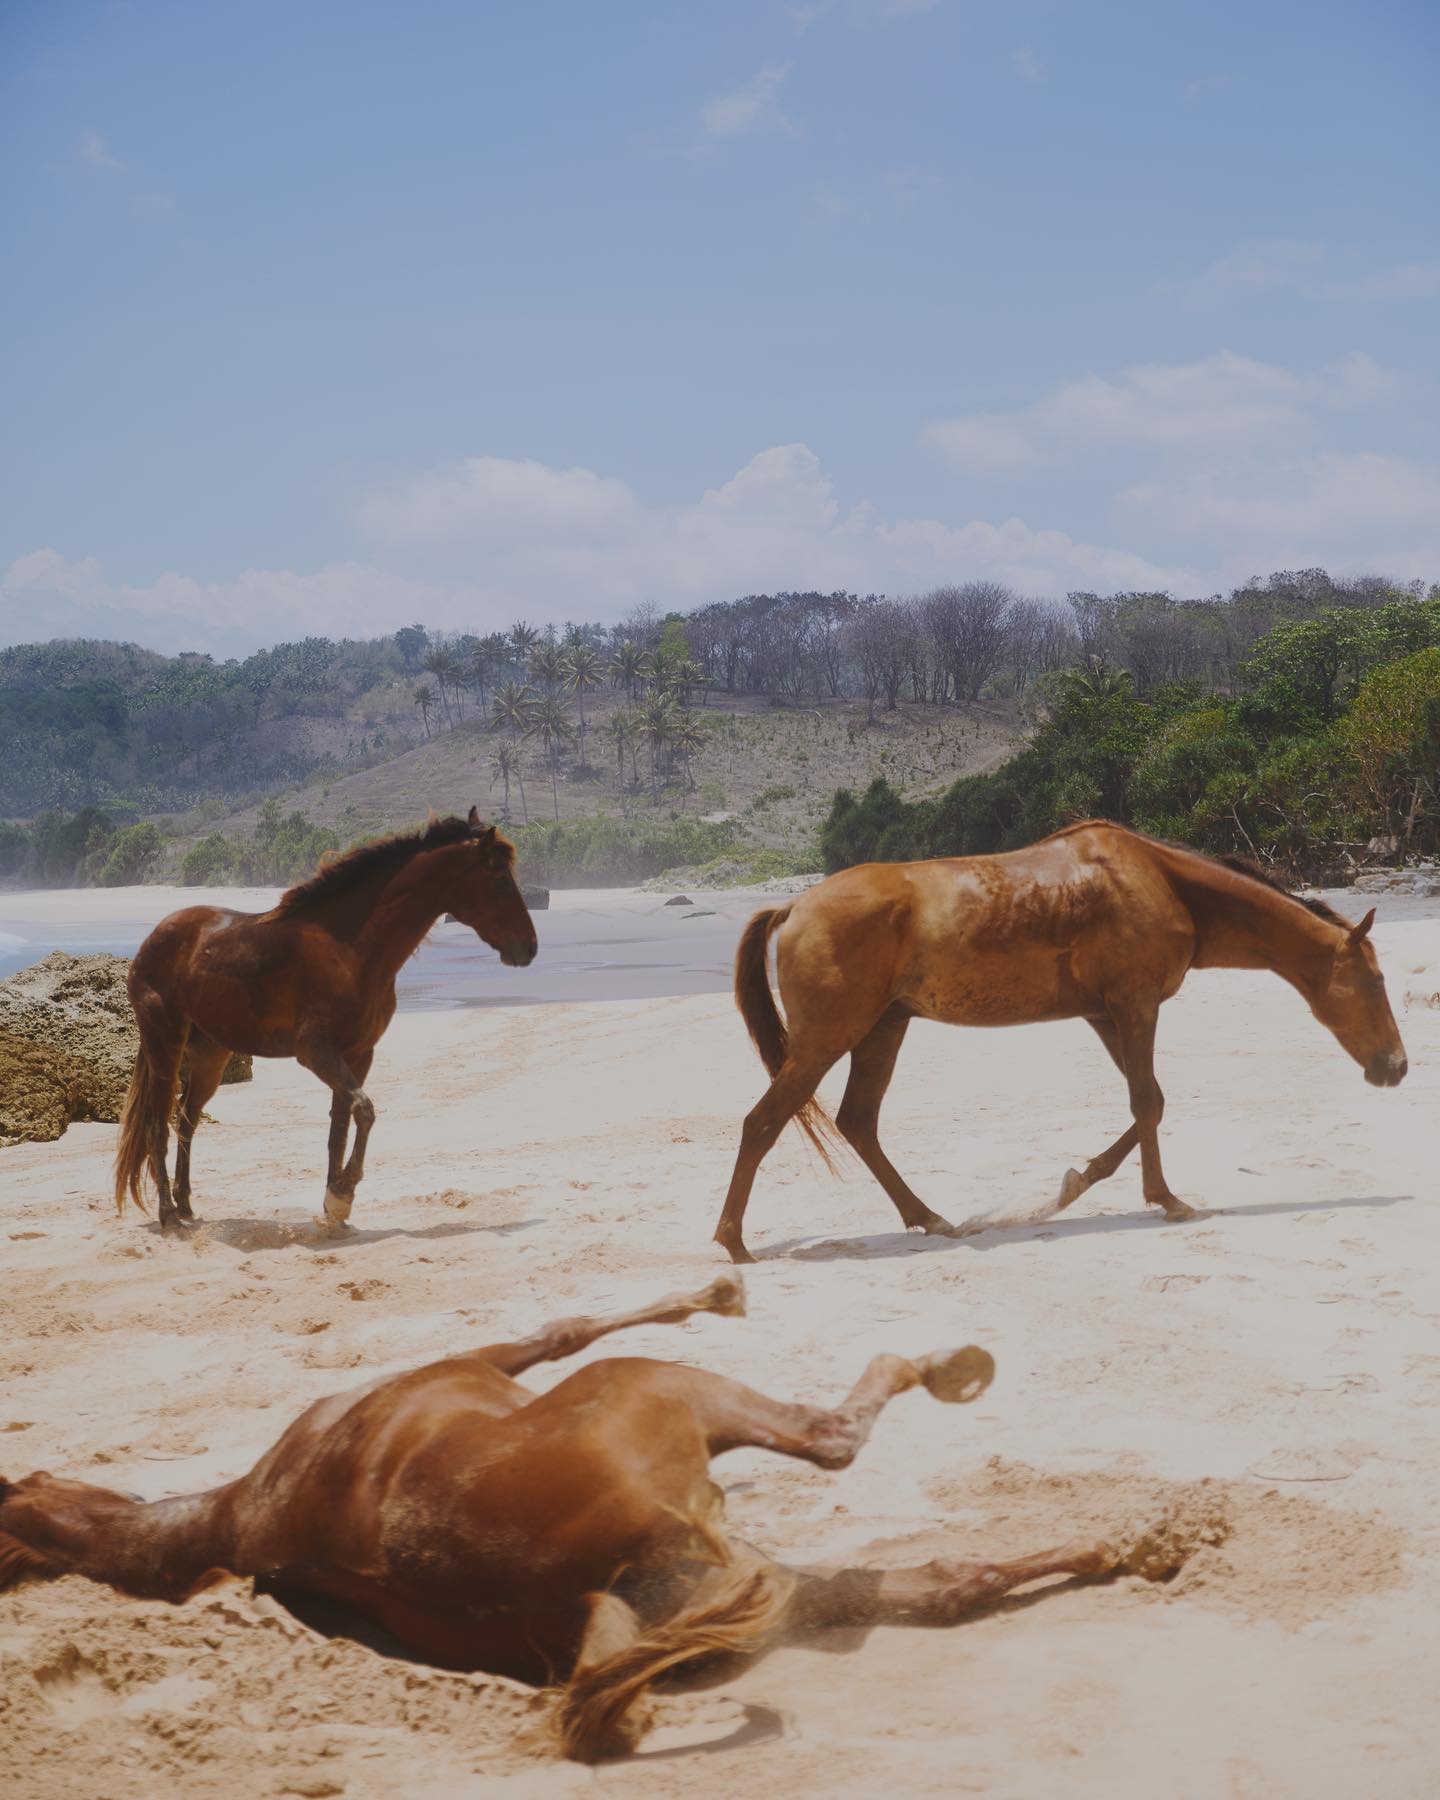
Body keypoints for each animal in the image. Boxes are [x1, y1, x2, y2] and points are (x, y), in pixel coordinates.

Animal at [0, 1281, 1195, 1756]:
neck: (234, 1514)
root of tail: (598, 1584)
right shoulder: (496, 1361)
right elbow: (560, 1326)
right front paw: (717, 1287)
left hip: (769, 1583)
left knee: (949, 1583)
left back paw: (1143, 1542)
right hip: (676, 1395)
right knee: (831, 1439)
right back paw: (958, 1370)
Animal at [117, 810, 532, 1231]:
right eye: (499, 877)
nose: (529, 947)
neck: (350, 951)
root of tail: (152, 940)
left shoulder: (358, 1054)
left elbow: (341, 1127)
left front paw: (335, 1210)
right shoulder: (316, 1052)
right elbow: (364, 1111)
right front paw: (342, 1195)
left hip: (210, 1056)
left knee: (186, 1120)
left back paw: (186, 1206)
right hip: (165, 1046)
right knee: (157, 1124)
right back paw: (169, 1215)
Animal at [712, 824, 1411, 1260]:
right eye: (1376, 981)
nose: (1397, 1067)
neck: (1163, 883)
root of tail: (793, 907)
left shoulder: (1106, 1015)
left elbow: (1149, 1102)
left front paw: (1078, 1182)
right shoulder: (1135, 1007)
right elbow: (1148, 1102)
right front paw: (1166, 1199)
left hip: (885, 1027)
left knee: (858, 1122)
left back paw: (929, 1218)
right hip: (828, 1038)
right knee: (762, 1123)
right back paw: (733, 1242)